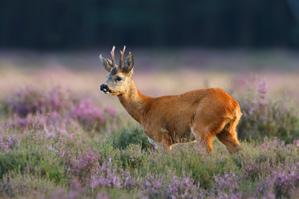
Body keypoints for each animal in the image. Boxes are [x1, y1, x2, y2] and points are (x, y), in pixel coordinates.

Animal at [99, 46, 243, 152]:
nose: (103, 86)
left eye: (118, 77)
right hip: (228, 130)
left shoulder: (162, 137)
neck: (145, 110)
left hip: (202, 126)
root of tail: (234, 105)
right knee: (238, 150)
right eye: (107, 76)